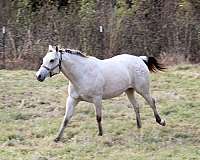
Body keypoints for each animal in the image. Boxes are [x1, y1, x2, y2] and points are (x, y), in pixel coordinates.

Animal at [35, 45, 166, 142]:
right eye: (44, 59)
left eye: (52, 60)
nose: (38, 76)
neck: (82, 74)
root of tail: (140, 59)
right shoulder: (72, 99)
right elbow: (66, 119)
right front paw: (57, 138)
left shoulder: (97, 98)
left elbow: (98, 117)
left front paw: (100, 134)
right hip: (129, 90)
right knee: (136, 106)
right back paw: (139, 127)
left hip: (142, 89)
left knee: (152, 102)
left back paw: (161, 121)